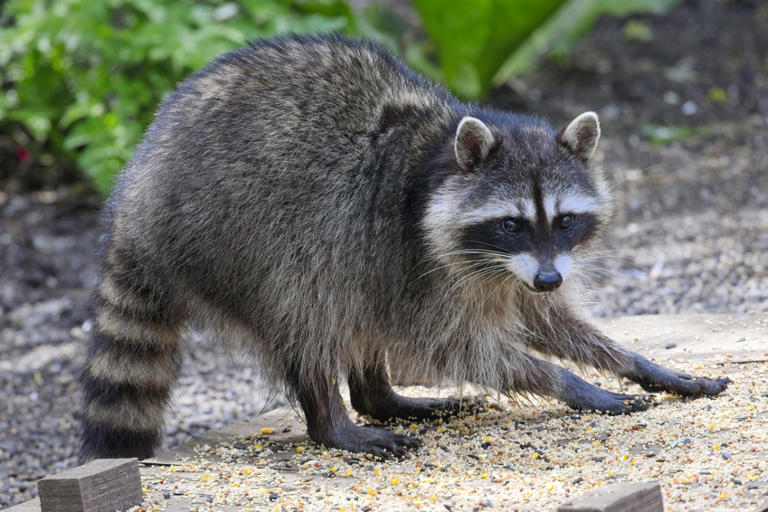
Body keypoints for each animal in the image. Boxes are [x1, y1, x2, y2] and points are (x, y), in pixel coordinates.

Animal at [80, 35, 729, 460]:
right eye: (512, 224)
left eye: (566, 220)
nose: (549, 279)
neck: (439, 162)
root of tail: (133, 198)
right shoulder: (414, 258)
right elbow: (454, 345)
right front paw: (572, 385)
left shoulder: (507, 274)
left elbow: (546, 320)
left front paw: (635, 364)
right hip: (237, 233)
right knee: (307, 303)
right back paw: (335, 423)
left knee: (354, 306)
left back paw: (380, 396)